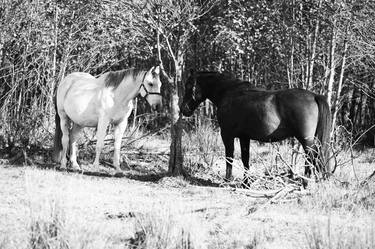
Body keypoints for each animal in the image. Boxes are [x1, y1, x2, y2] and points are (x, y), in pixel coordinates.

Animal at [181, 71, 332, 184]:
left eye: (189, 87)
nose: (184, 109)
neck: (229, 93)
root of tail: (314, 96)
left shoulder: (227, 135)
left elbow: (229, 157)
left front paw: (227, 181)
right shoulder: (244, 137)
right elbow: (245, 159)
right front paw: (246, 183)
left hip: (306, 140)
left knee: (311, 158)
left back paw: (305, 183)